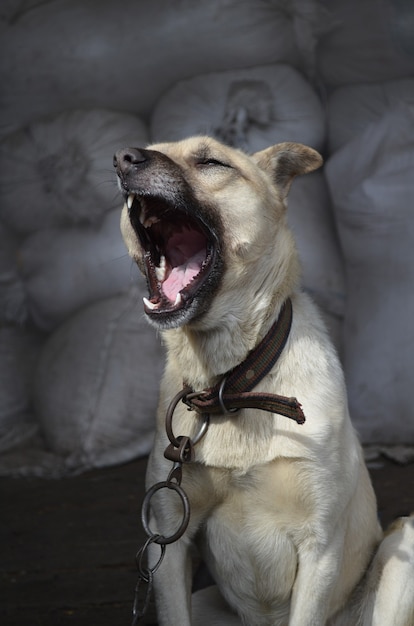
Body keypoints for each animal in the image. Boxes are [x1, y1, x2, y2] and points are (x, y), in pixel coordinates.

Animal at [114, 138, 414, 624]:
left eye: (210, 161)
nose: (122, 159)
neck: (231, 385)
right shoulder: (169, 539)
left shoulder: (320, 546)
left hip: (403, 546)